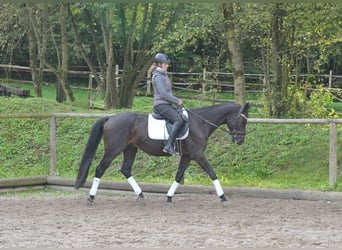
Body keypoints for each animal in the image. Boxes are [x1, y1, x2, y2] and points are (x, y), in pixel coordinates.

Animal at [75, 101, 250, 203]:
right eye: (242, 120)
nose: (240, 141)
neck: (200, 123)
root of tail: (110, 118)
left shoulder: (187, 156)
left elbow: (179, 176)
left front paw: (169, 196)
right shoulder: (198, 155)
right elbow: (212, 173)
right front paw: (223, 196)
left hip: (130, 149)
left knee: (125, 169)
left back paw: (140, 194)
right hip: (113, 150)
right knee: (100, 169)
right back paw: (91, 197)